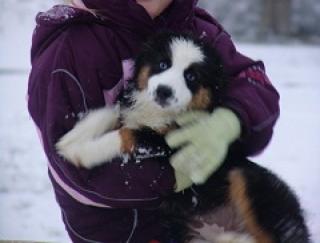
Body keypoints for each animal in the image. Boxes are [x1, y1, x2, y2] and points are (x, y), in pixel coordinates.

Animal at [57, 32, 310, 243]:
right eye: (163, 64)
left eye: (191, 76)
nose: (164, 91)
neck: (159, 114)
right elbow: (112, 111)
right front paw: (70, 139)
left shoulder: (172, 143)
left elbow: (127, 133)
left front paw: (82, 153)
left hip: (249, 183)